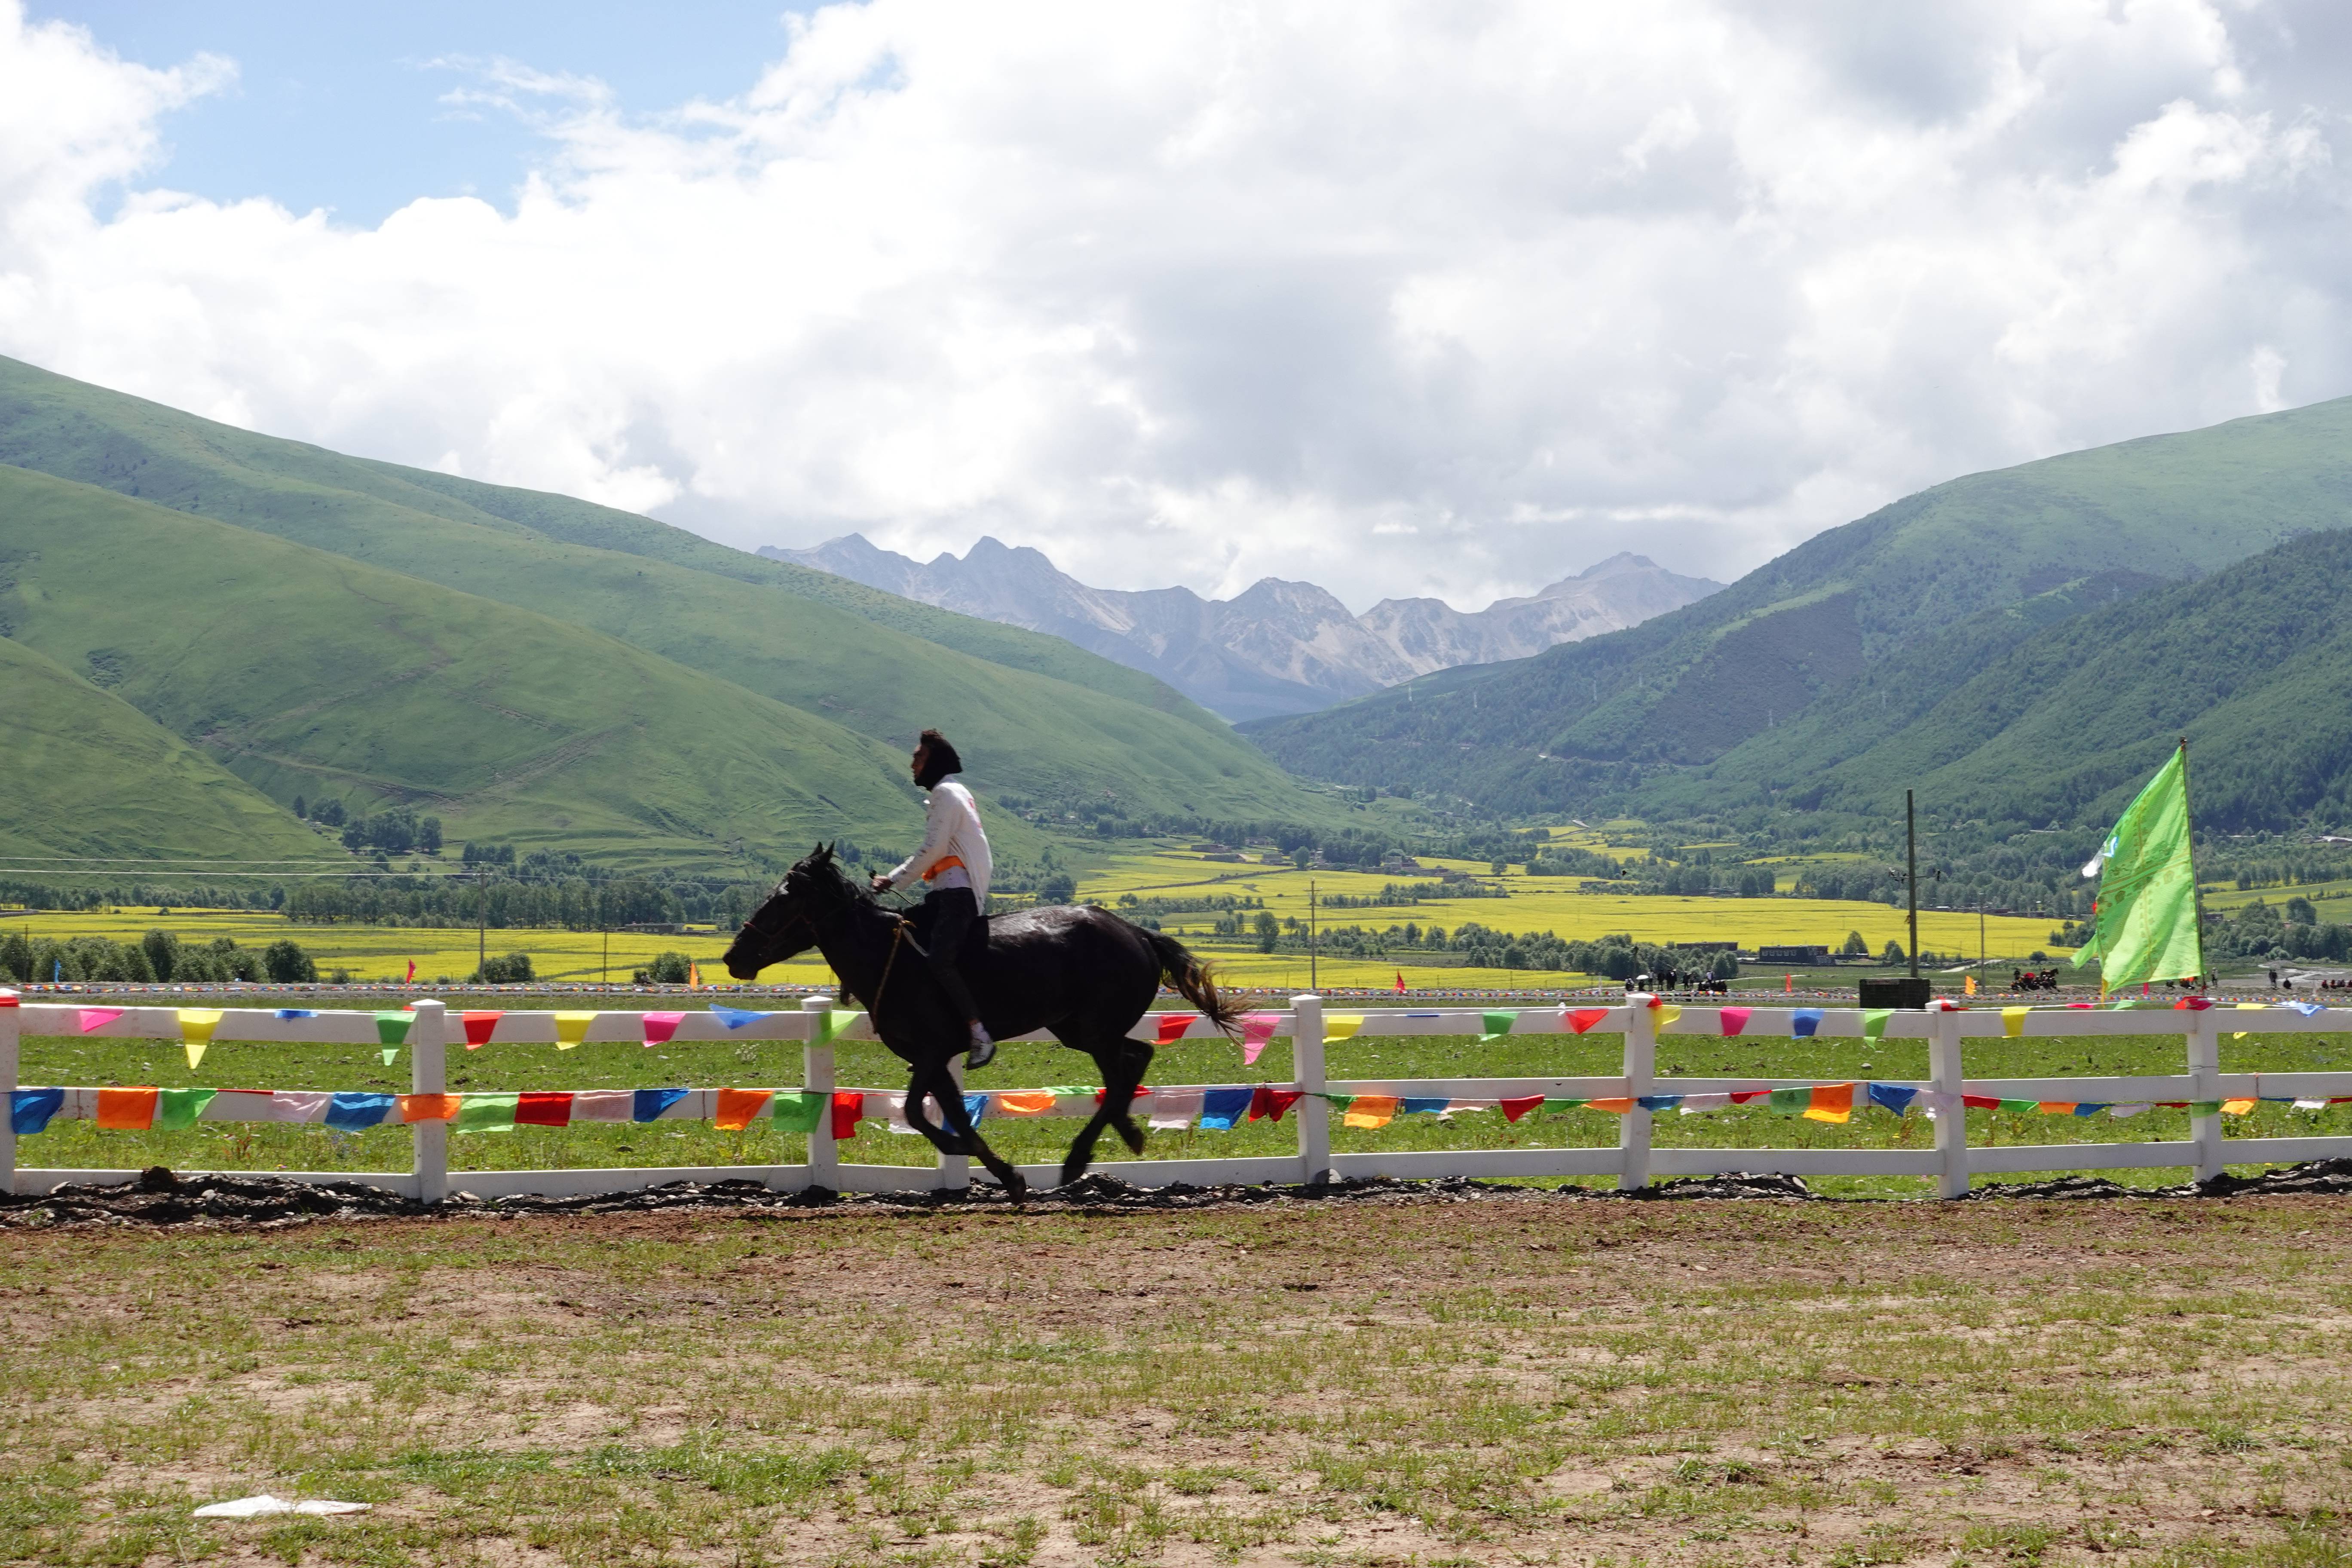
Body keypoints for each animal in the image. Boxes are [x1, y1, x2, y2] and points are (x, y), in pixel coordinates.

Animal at [715, 846, 1232, 1204]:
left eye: (783, 900)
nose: (733, 957)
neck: (890, 960)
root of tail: (1137, 933)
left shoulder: (931, 1052)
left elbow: (917, 1113)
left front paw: (958, 1149)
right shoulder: (930, 1059)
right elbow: (953, 1113)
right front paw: (1008, 1175)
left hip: (1095, 1031)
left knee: (1122, 1074)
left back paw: (1078, 1159)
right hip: (1079, 1030)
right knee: (1136, 1059)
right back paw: (1126, 1133)